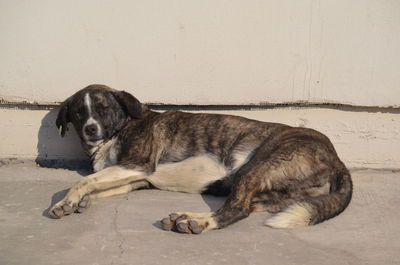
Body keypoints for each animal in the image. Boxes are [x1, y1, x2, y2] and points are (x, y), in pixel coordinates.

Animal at [50, 84, 354, 233]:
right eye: (79, 113)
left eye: (103, 108)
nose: (90, 129)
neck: (121, 129)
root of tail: (337, 158)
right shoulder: (137, 178)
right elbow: (96, 183)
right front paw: (81, 201)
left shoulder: (137, 165)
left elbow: (82, 182)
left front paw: (66, 201)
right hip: (273, 193)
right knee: (246, 207)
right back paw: (188, 217)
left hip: (254, 168)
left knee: (236, 210)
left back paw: (198, 222)